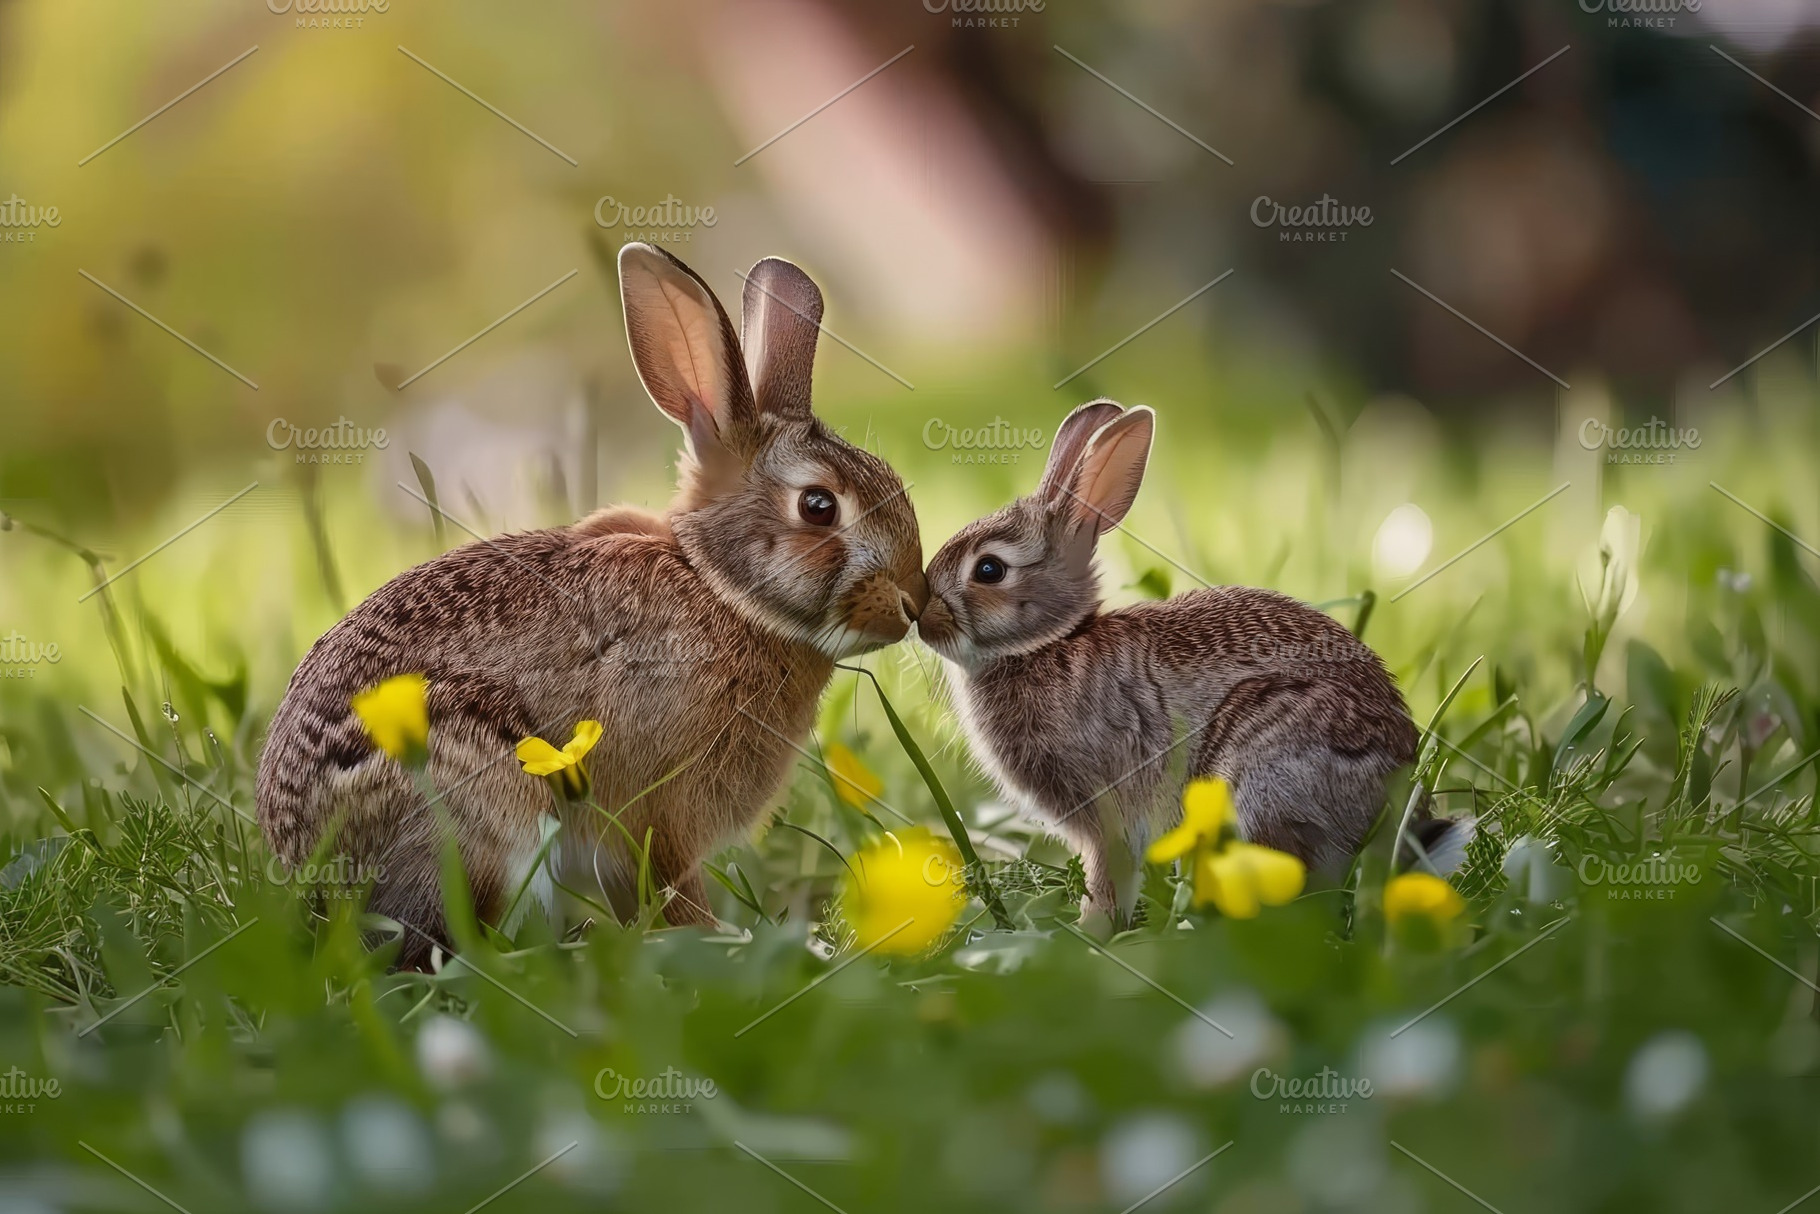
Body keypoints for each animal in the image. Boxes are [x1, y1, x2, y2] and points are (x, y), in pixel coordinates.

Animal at [258, 244, 927, 967]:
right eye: (818, 506)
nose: (913, 604)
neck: (722, 588)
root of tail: (312, 878)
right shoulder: (659, 811)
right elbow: (668, 886)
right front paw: (717, 942)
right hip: (486, 807)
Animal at [918, 399, 1465, 927]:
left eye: (990, 570)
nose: (922, 620)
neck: (1050, 644)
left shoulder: (1109, 812)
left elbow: (1109, 877)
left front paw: (1090, 933)